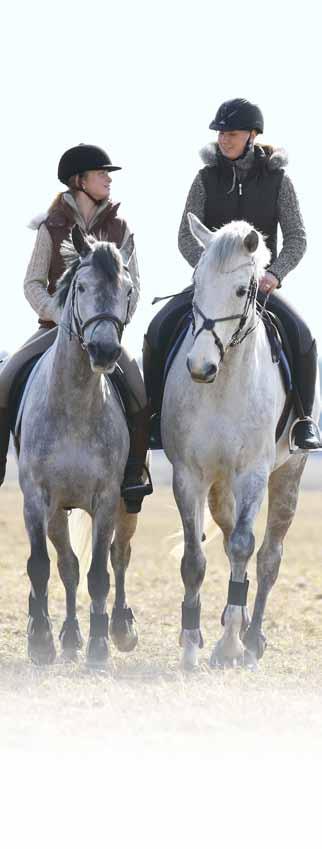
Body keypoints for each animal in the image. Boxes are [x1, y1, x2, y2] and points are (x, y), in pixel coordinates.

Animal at [17, 229, 138, 664]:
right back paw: (67, 636)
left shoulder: (106, 499)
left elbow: (100, 573)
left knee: (119, 557)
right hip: (56, 513)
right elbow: (41, 566)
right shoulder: (36, 499)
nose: (104, 351)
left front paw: (100, 646)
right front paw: (41, 642)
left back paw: (120, 627)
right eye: (81, 287)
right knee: (67, 565)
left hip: (126, 505)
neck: (74, 406)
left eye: (128, 290)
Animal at [162, 215, 318, 672]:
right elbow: (194, 558)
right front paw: (191, 643)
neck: (223, 382)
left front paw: (231, 644)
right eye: (196, 283)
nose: (200, 366)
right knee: (230, 532)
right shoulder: (189, 475)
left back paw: (251, 640)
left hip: (288, 474)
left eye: (239, 290)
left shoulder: (253, 473)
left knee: (267, 556)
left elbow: (245, 546)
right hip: (219, 485)